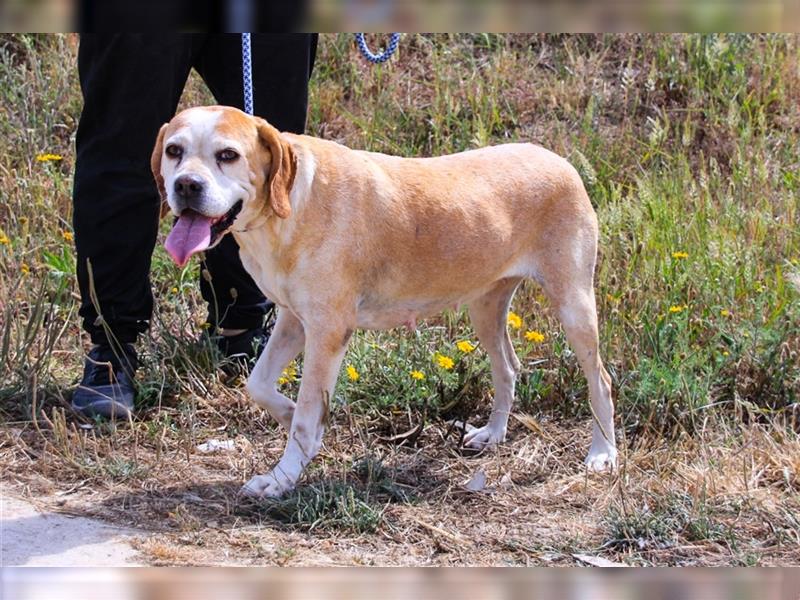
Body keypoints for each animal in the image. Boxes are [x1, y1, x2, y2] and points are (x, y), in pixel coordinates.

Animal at [152, 106, 620, 496]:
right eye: (174, 151)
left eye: (227, 155)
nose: (186, 186)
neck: (290, 207)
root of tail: (559, 160)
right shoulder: (293, 320)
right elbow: (260, 386)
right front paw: (289, 416)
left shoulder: (327, 332)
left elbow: (304, 419)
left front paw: (282, 477)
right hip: (485, 308)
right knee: (508, 366)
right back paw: (493, 434)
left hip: (574, 307)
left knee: (601, 380)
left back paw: (603, 454)